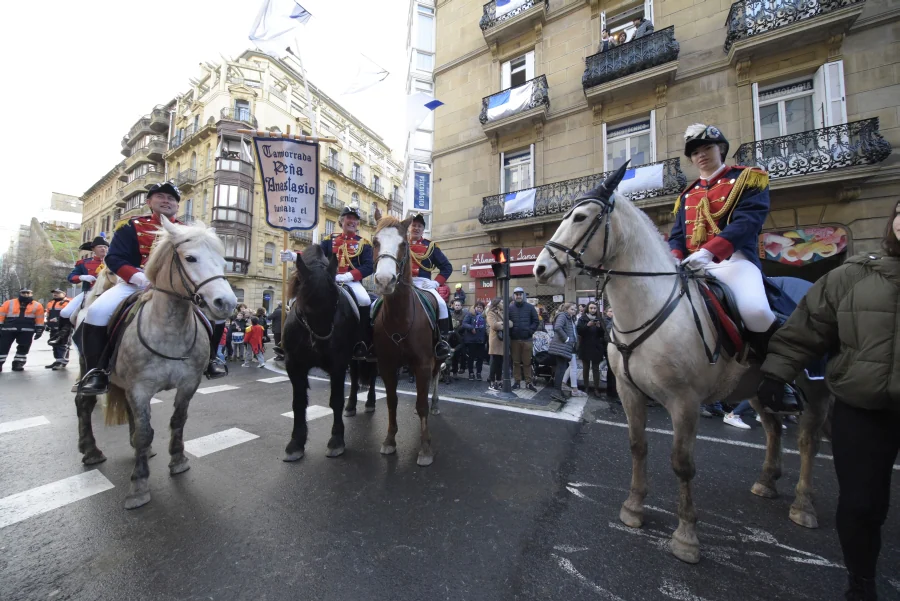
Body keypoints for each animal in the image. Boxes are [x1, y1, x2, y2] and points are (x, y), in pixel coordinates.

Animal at [74, 218, 236, 508]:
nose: (227, 303)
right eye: (190, 257)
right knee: (84, 404)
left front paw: (178, 460)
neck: (170, 330)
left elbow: (177, 421)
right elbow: (144, 431)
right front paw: (138, 486)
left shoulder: (188, 384)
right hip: (87, 367)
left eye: (223, 261)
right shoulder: (140, 389)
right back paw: (91, 450)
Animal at [284, 244, 376, 460]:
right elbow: (298, 403)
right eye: (304, 304)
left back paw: (369, 403)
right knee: (356, 377)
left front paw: (336, 440)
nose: (322, 345)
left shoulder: (337, 364)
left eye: (335, 301)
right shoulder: (294, 365)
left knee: (374, 377)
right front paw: (296, 443)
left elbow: (336, 400)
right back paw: (352, 406)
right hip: (354, 356)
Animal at [370, 216, 442, 464]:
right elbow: (392, 402)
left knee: (436, 379)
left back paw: (435, 404)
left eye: (403, 244)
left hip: (437, 358)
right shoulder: (387, 366)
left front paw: (426, 448)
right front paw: (390, 440)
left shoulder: (423, 363)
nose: (384, 281)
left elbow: (422, 404)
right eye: (375, 242)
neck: (400, 317)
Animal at [536, 166, 828, 564]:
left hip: (813, 384)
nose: (540, 267)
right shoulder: (629, 391)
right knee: (773, 429)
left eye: (579, 217)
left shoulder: (684, 399)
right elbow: (638, 446)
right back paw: (767, 481)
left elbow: (682, 463)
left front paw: (686, 535)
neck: (649, 306)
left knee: (807, 439)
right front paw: (633, 508)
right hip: (755, 385)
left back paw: (803, 505)